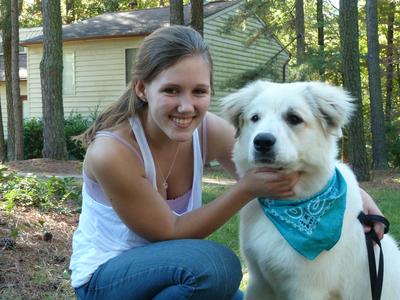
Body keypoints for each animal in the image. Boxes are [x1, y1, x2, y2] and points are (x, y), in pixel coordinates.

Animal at [222, 81, 400, 300]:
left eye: (294, 118)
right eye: (255, 118)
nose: (262, 141)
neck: (289, 203)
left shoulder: (306, 289)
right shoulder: (259, 281)